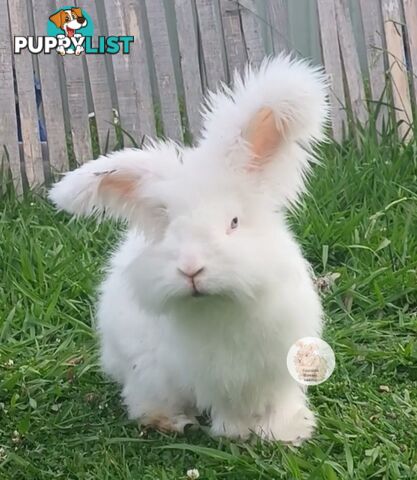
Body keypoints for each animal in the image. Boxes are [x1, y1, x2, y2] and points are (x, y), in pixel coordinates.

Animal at [48, 57, 328, 446]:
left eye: (234, 222)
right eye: (168, 227)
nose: (192, 269)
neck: (222, 305)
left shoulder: (279, 366)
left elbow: (280, 403)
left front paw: (288, 431)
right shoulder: (217, 379)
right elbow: (229, 411)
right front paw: (236, 433)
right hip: (146, 373)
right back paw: (171, 423)